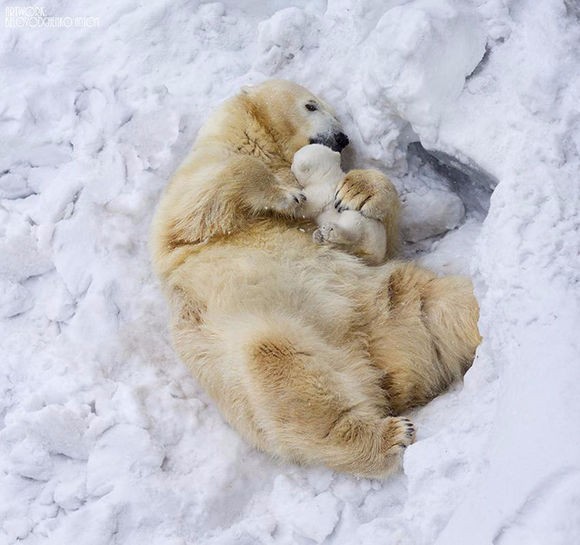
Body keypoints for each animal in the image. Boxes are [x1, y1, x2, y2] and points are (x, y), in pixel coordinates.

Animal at [151, 79, 480, 476]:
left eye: (334, 113)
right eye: (311, 105)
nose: (342, 138)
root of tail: (380, 367)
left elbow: (379, 245)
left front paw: (358, 190)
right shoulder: (193, 186)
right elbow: (204, 198)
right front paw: (287, 194)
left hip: (394, 302)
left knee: (450, 305)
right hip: (269, 338)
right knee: (280, 364)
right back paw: (388, 435)